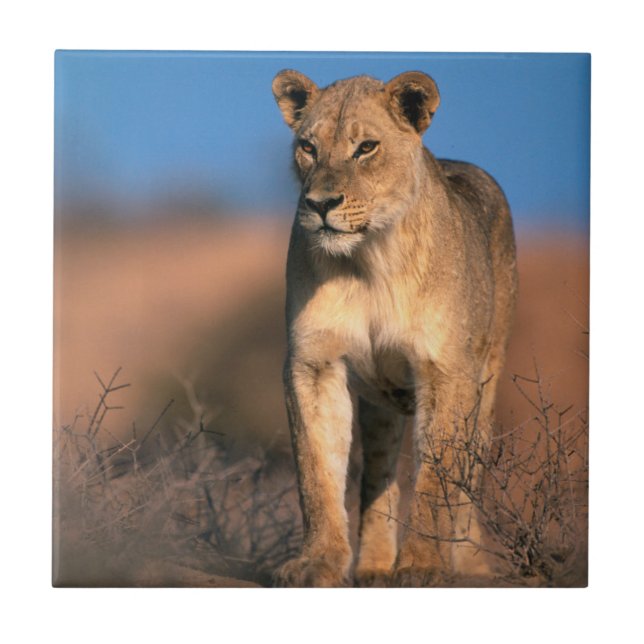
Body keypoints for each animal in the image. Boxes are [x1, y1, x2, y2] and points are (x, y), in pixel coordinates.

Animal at [271, 69, 517, 587]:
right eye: (308, 147)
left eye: (366, 147)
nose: (320, 204)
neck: (369, 261)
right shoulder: (314, 364)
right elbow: (316, 471)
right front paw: (318, 561)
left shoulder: (447, 371)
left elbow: (438, 478)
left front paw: (423, 564)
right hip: (381, 405)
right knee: (378, 475)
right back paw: (373, 566)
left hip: (486, 382)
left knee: (468, 478)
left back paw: (466, 564)